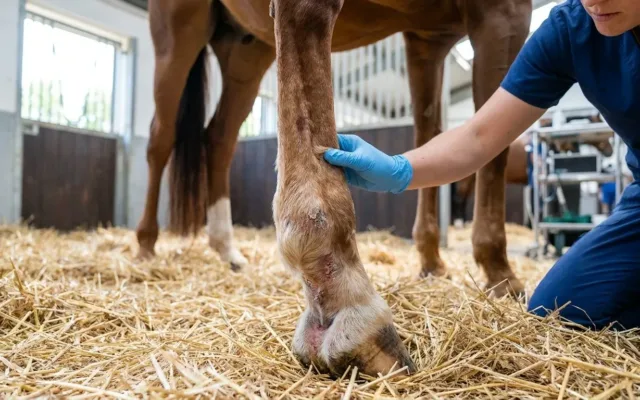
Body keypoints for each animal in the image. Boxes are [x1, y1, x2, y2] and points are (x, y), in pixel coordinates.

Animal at [137, 0, 532, 376]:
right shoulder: (503, 12)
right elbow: (493, 144)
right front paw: (500, 272)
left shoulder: (428, 38)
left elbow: (433, 132)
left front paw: (432, 261)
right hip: (178, 33)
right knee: (160, 138)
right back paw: (145, 246)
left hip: (245, 48)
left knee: (219, 139)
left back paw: (227, 249)